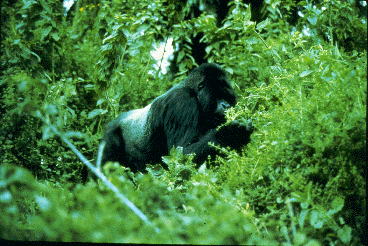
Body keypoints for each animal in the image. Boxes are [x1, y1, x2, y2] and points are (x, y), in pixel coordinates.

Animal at [98, 63, 253, 173]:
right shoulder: (182, 103)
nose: (226, 106)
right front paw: (229, 134)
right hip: (110, 136)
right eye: (218, 95)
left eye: (228, 97)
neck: (194, 93)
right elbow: (181, 154)